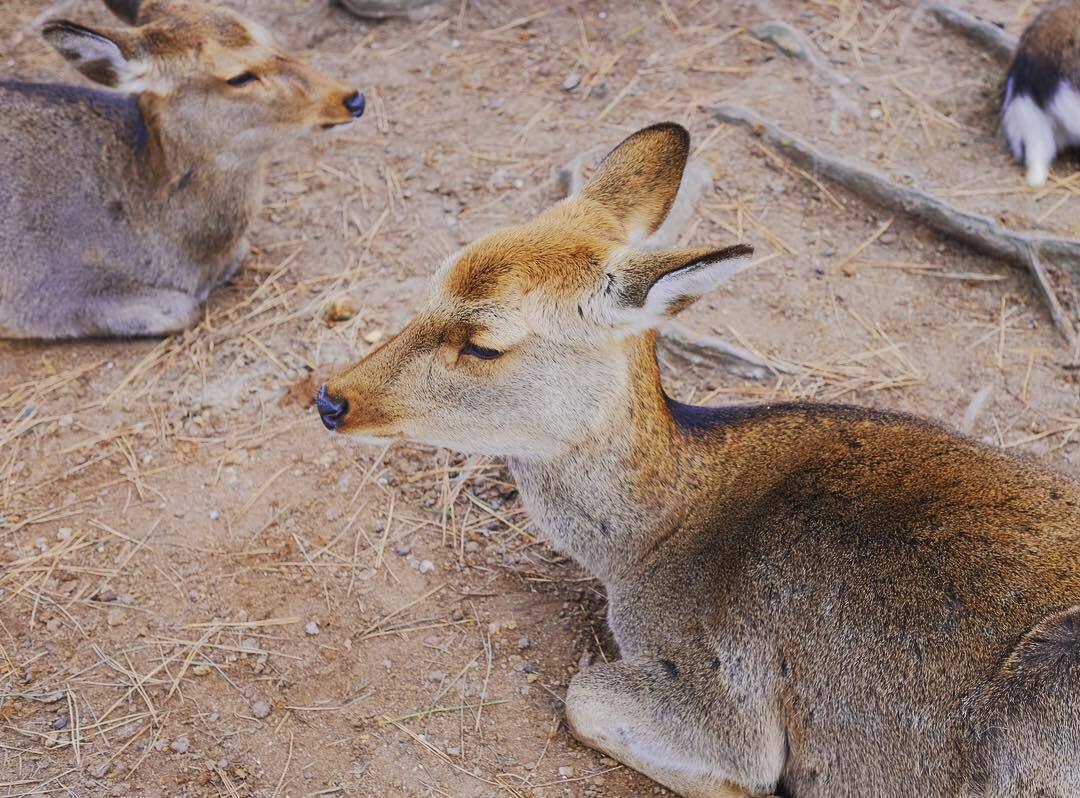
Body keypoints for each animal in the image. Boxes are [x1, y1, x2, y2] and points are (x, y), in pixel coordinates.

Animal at [317, 122, 1080, 798]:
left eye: (483, 344)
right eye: (431, 284)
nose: (331, 399)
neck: (647, 545)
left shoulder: (732, 690)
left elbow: (586, 695)